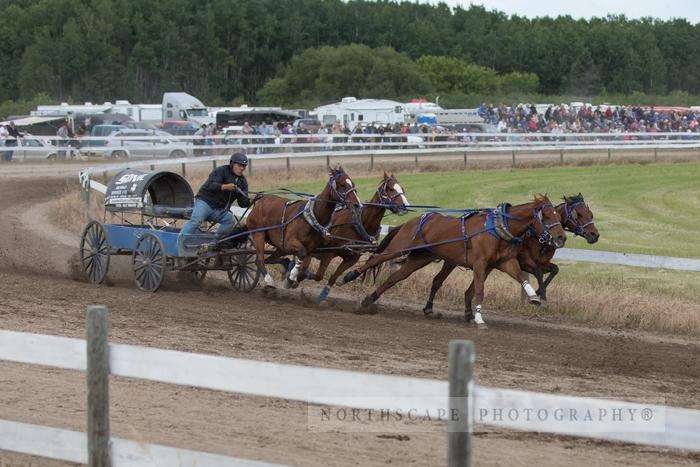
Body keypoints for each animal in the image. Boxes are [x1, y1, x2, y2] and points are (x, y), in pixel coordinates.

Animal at [306, 174, 410, 306]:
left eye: (402, 188)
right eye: (391, 189)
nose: (405, 206)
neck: (360, 223)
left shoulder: (352, 258)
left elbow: (333, 278)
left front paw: (323, 296)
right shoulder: (330, 252)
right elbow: (319, 275)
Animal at [340, 196, 568, 328]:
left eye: (558, 215)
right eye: (547, 216)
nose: (561, 237)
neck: (497, 228)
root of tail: (410, 222)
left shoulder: (504, 263)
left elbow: (522, 277)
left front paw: (535, 297)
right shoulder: (480, 264)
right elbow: (479, 290)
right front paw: (479, 318)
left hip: (419, 258)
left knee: (394, 278)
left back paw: (367, 300)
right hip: (400, 247)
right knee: (376, 259)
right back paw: (348, 276)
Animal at [424, 194, 600, 318]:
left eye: (591, 214)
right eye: (578, 214)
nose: (595, 235)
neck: (534, 236)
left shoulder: (541, 262)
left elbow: (554, 270)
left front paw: (538, 292)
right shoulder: (524, 261)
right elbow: (537, 272)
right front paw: (540, 295)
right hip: (451, 261)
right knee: (438, 281)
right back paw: (429, 307)